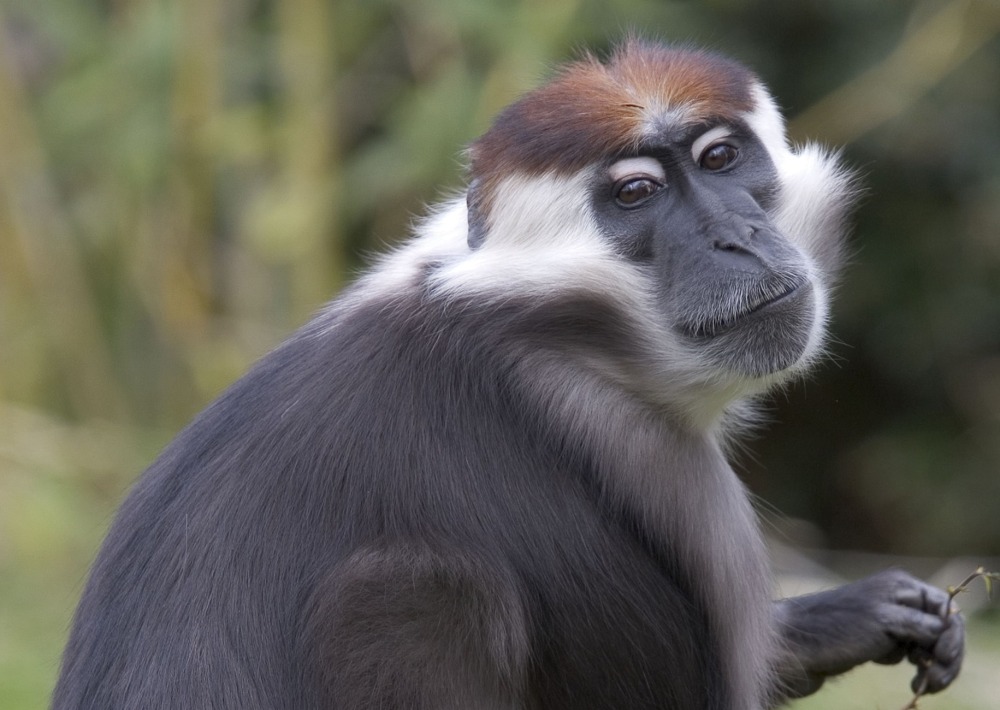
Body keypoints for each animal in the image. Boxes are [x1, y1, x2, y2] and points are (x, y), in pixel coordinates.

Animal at [50, 43, 964, 710]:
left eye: (720, 157)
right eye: (637, 194)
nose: (735, 238)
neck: (542, 325)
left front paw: (856, 617)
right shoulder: (640, 447)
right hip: (404, 607)